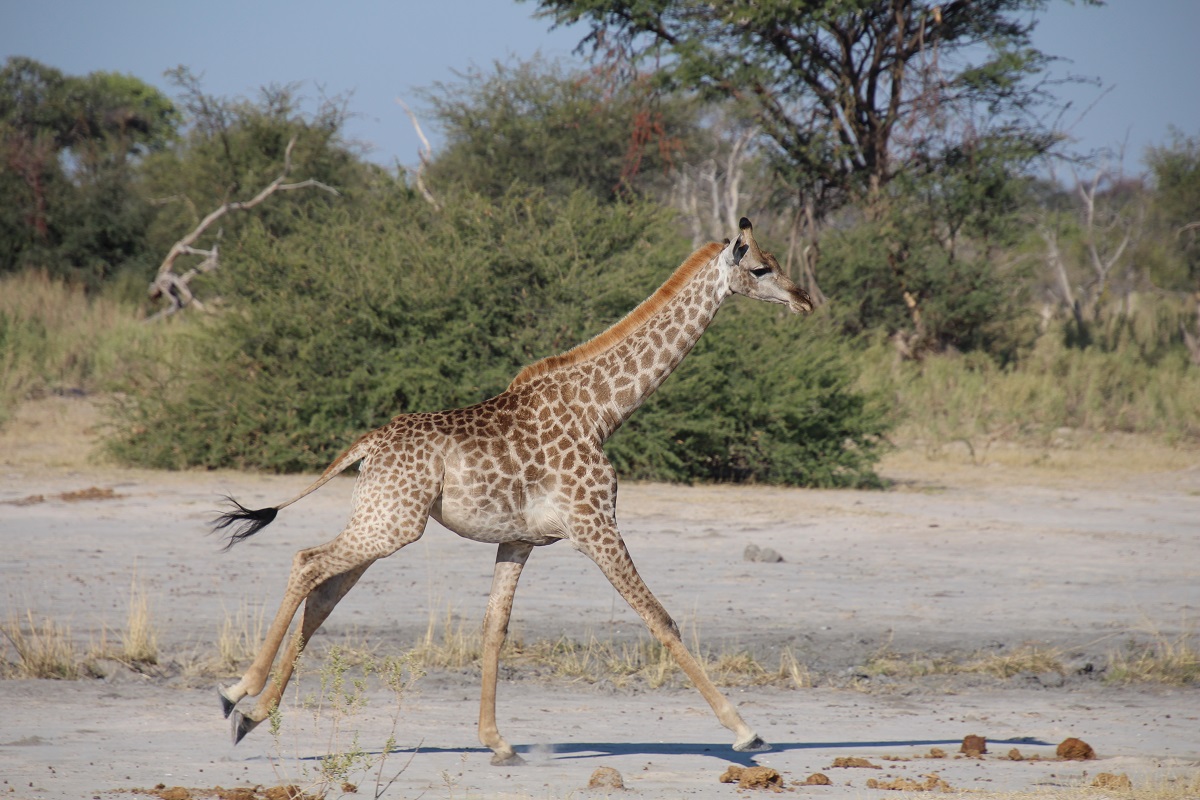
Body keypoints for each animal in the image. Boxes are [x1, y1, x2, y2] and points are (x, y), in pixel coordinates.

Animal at [216, 217, 816, 762]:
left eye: (775, 263)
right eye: (761, 269)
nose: (805, 300)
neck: (602, 412)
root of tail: (369, 442)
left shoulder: (520, 540)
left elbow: (494, 628)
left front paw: (496, 741)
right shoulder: (594, 524)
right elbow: (660, 618)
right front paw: (745, 731)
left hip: (379, 518)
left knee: (323, 592)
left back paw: (252, 714)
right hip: (393, 524)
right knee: (307, 562)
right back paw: (236, 691)